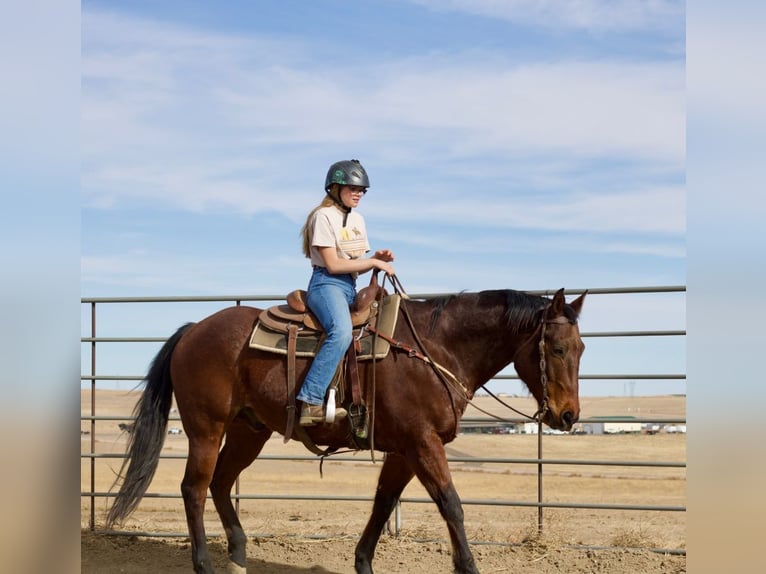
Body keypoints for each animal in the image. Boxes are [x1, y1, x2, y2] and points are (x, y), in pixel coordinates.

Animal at [106, 284, 586, 574]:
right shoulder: (422, 443)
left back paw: (238, 555)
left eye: (581, 347)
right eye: (557, 348)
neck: (435, 349)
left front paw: (363, 563)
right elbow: (451, 505)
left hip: (249, 431)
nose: (568, 416)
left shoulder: (403, 450)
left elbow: (383, 503)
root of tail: (192, 331)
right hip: (206, 429)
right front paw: (468, 566)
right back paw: (204, 563)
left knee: (222, 483)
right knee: (195, 488)